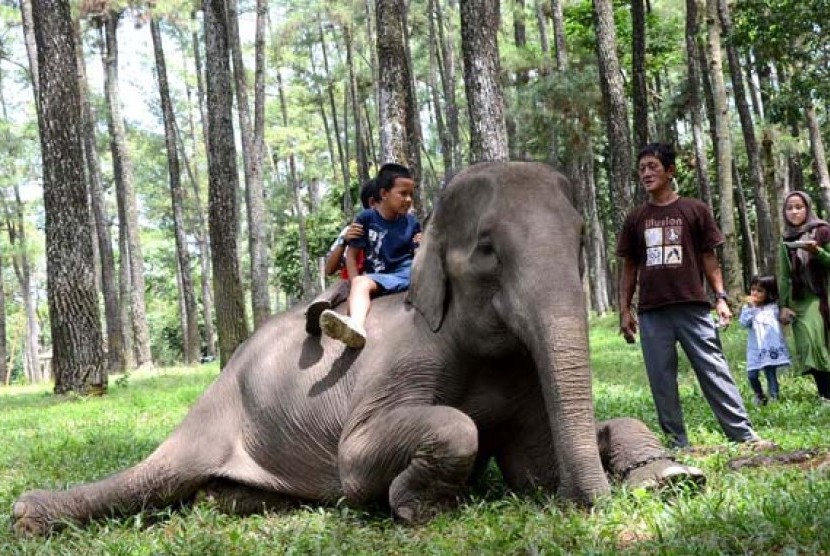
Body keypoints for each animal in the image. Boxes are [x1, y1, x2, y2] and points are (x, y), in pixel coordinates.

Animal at [9, 160, 704, 536]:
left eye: (583, 237)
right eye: (486, 248)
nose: (592, 506)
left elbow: (534, 468)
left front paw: (673, 476)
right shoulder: (407, 359)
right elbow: (369, 455)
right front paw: (420, 508)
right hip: (211, 423)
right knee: (151, 480)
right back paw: (27, 518)